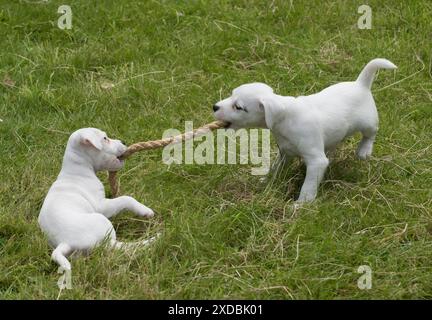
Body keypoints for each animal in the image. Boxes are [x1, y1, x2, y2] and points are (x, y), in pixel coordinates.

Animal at [38, 127, 156, 270]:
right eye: (105, 138)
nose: (123, 141)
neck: (77, 170)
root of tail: (65, 242)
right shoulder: (102, 206)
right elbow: (126, 199)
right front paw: (145, 211)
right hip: (102, 222)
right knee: (116, 246)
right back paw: (152, 240)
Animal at [213, 58, 398, 201]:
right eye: (231, 94)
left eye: (238, 107)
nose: (214, 106)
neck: (286, 117)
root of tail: (360, 84)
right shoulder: (284, 153)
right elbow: (276, 168)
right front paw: (267, 180)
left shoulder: (316, 161)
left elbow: (308, 186)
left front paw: (301, 205)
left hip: (368, 122)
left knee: (370, 134)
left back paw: (364, 150)